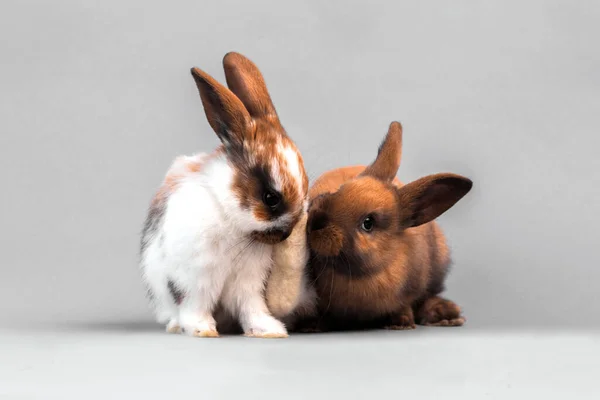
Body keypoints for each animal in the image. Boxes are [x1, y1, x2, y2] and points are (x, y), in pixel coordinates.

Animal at [139, 52, 310, 338]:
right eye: (270, 198)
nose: (285, 234)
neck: (230, 218)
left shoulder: (249, 281)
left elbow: (250, 307)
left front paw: (269, 330)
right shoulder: (196, 278)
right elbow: (195, 306)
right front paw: (203, 330)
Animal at [298, 121, 472, 332]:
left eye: (368, 223)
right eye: (340, 189)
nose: (316, 222)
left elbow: (405, 304)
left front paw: (401, 322)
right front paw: (311, 326)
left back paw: (446, 315)